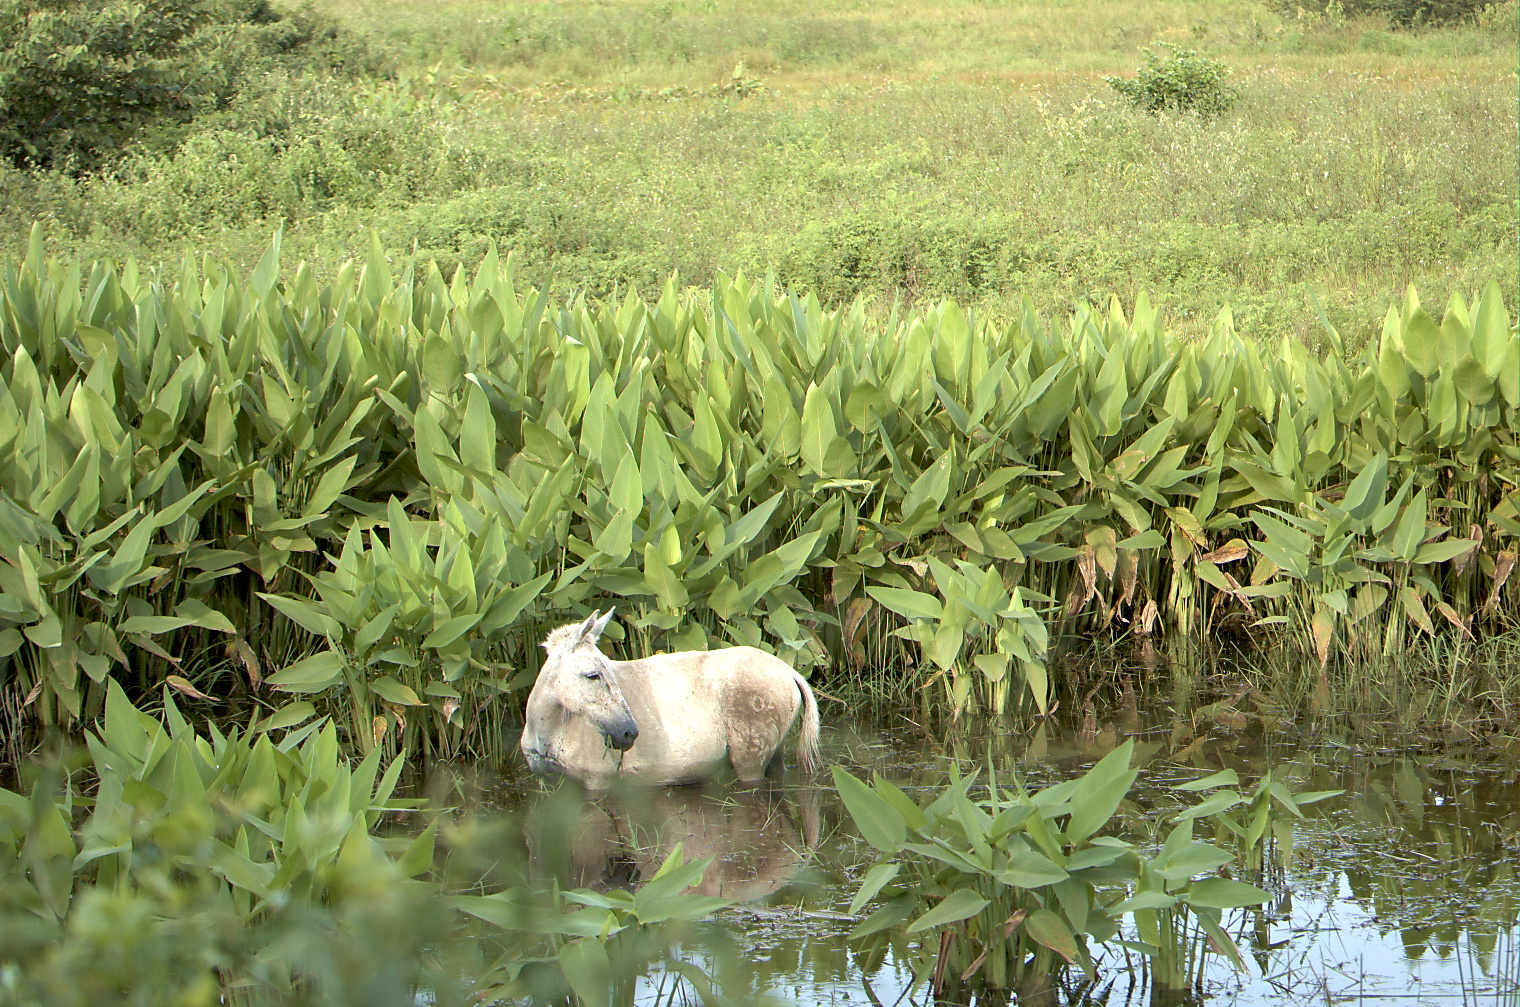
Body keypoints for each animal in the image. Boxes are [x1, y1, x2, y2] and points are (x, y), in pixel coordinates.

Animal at [522, 614, 820, 790]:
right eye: (593, 675)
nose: (628, 733)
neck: (555, 729)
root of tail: (788, 670)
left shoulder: (597, 783)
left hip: (751, 762)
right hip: (775, 753)